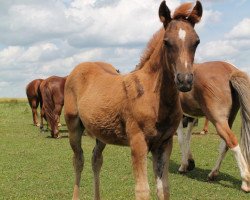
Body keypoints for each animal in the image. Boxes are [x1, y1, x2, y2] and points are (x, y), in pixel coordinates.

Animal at [63, 0, 202, 199]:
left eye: (196, 42)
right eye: (166, 42)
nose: (185, 80)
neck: (155, 98)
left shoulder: (164, 143)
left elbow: (163, 188)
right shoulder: (138, 142)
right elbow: (142, 190)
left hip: (101, 131)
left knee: (96, 159)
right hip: (73, 125)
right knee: (78, 160)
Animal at [177, 61, 250, 192]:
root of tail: (230, 70)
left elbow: (181, 139)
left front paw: (183, 165)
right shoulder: (191, 117)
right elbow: (187, 139)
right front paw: (190, 162)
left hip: (218, 120)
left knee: (231, 140)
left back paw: (245, 181)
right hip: (228, 119)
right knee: (224, 145)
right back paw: (213, 173)